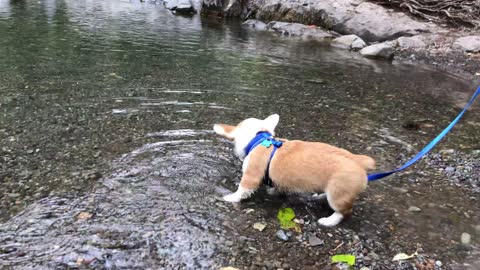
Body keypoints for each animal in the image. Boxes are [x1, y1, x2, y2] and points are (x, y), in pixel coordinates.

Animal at [214, 113, 376, 226]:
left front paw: (231, 197)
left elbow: (241, 189)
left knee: (344, 212)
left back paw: (328, 221)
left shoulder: (251, 176)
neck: (259, 138)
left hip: (338, 195)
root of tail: (358, 160)